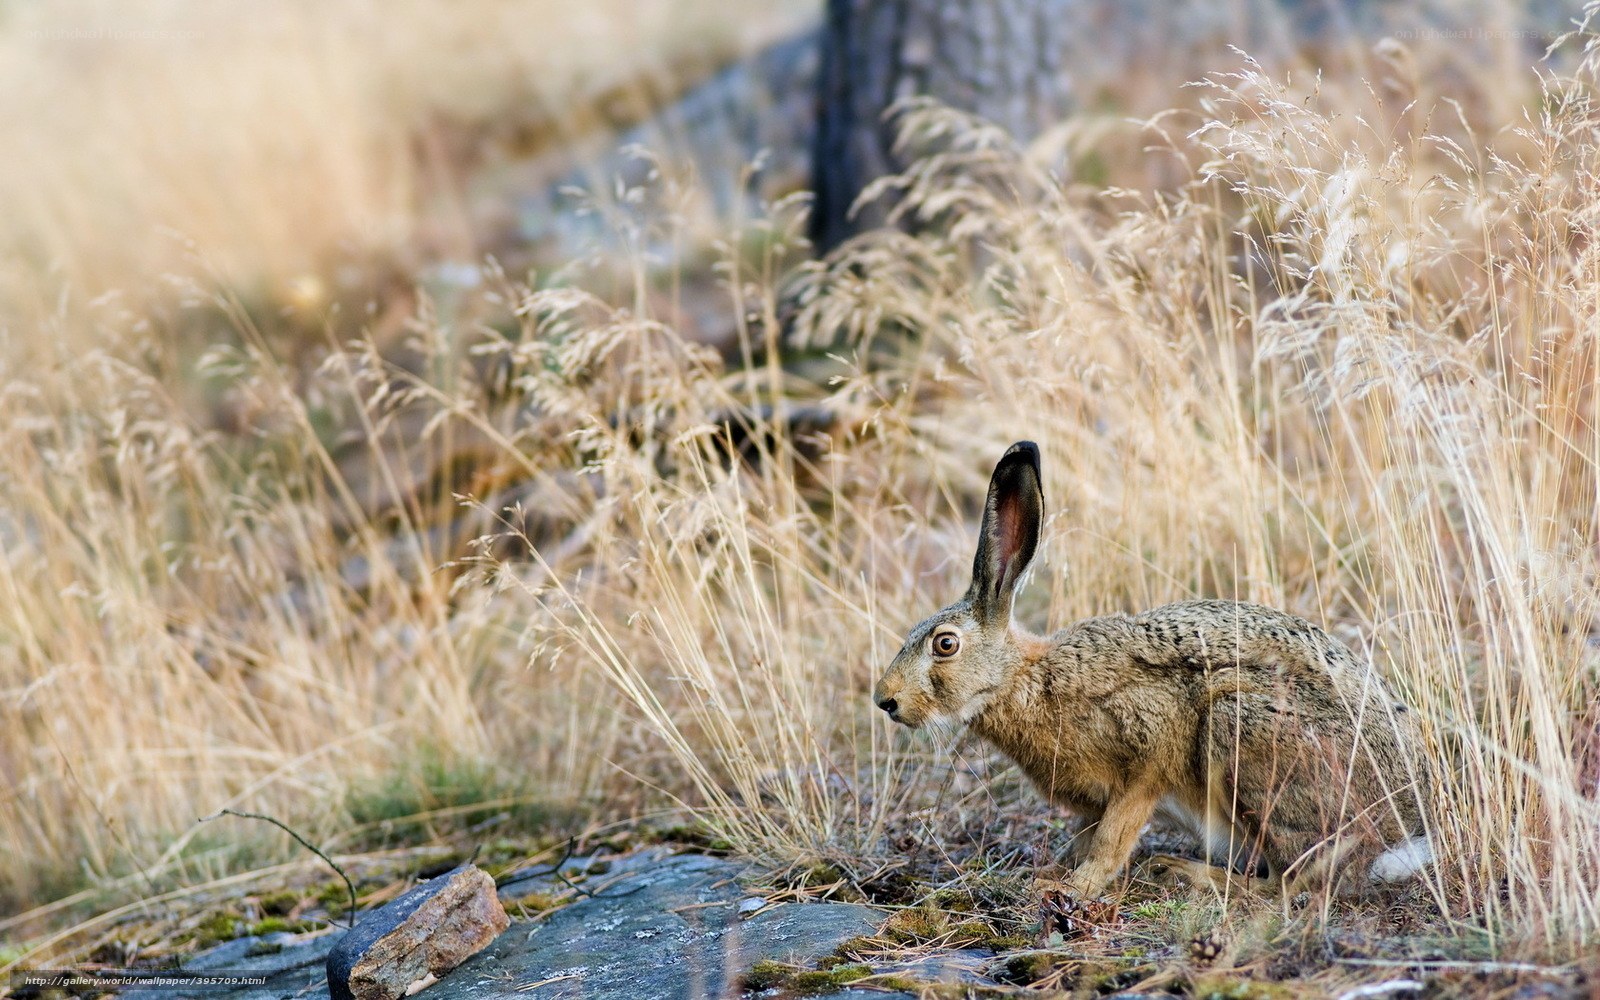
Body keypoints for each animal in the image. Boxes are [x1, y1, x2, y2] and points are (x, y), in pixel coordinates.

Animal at [873, 440, 1432, 899]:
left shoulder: (1149, 755)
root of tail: (1402, 833)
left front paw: (1073, 888)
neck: (1026, 679)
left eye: (945, 645)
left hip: (1242, 732)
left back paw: (1182, 871)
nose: (886, 701)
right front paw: (1052, 871)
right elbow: (1087, 835)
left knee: (1293, 883)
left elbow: (1114, 835)